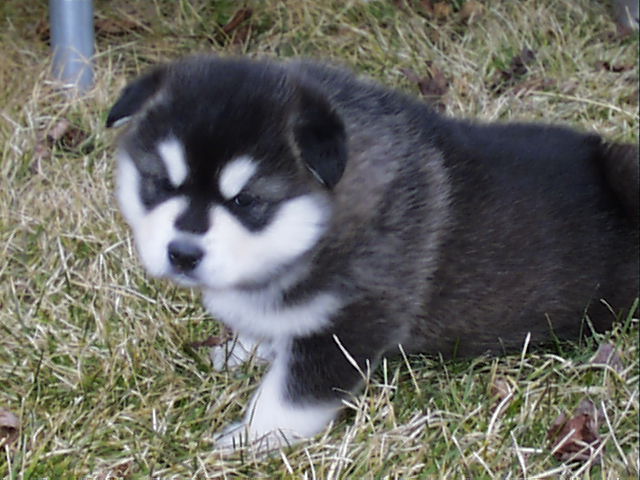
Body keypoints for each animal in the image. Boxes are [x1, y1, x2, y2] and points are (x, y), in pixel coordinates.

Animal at [106, 55, 640, 450]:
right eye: (159, 183)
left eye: (246, 201)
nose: (182, 253)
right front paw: (242, 348)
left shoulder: (353, 322)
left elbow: (290, 397)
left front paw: (250, 440)